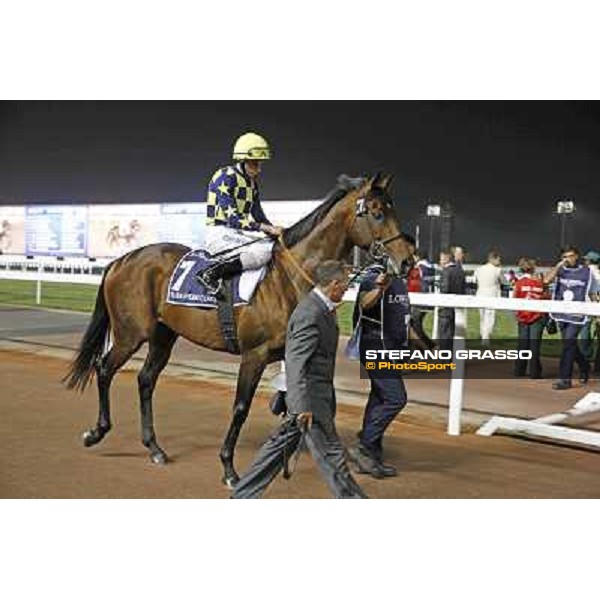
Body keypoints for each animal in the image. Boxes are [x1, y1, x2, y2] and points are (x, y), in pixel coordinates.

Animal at [65, 173, 412, 488]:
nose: (408, 261)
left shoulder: (292, 353)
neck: (289, 279)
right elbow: (241, 408)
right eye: (378, 212)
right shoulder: (254, 355)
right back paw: (96, 432)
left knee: (145, 380)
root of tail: (122, 260)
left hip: (164, 336)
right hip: (130, 333)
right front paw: (230, 469)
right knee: (104, 368)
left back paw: (154, 448)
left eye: (393, 210)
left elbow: (304, 405)